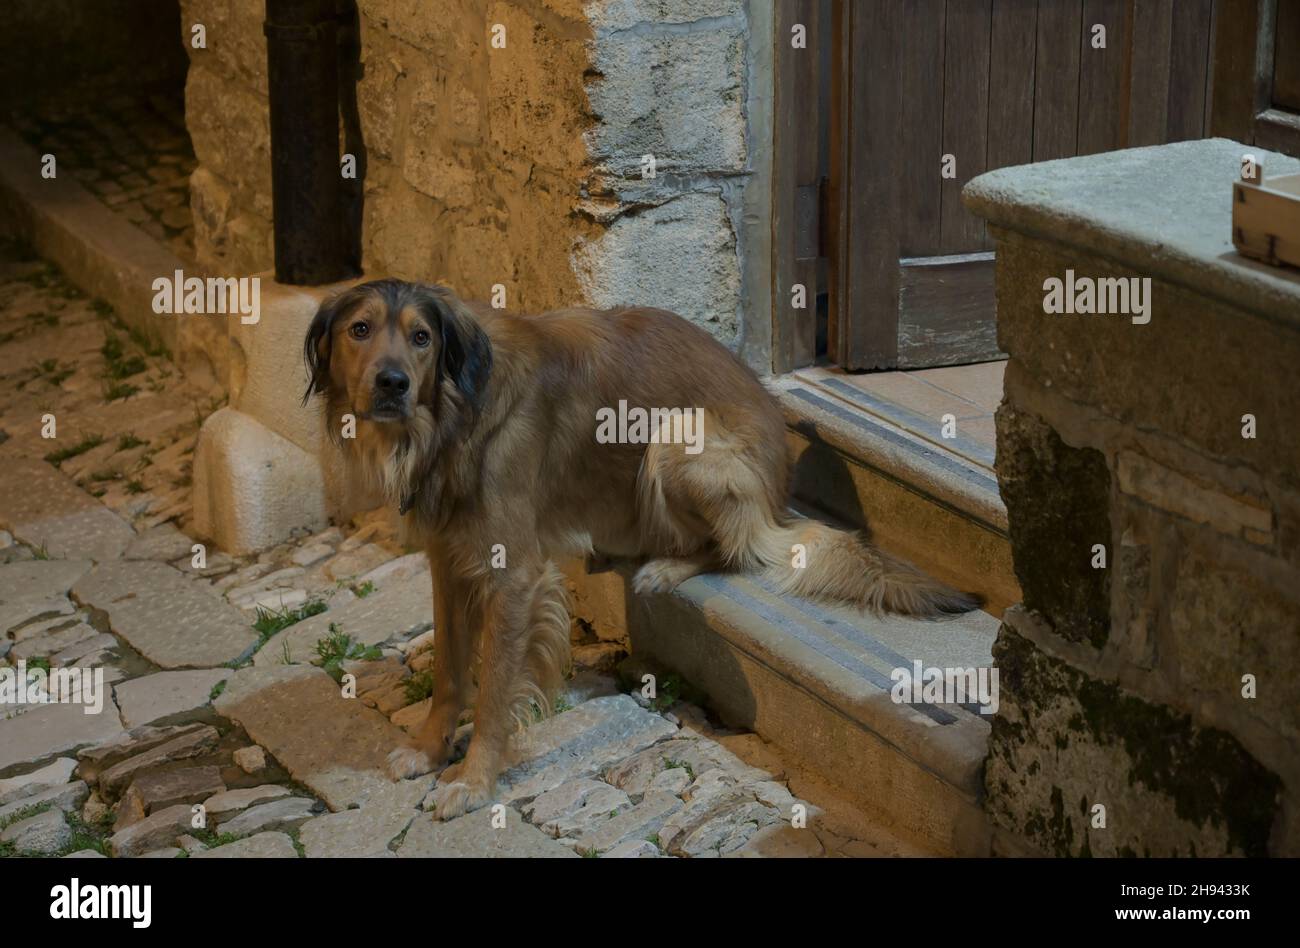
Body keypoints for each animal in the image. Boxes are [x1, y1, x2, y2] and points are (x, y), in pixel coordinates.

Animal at [304, 276, 977, 816]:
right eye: (360, 330)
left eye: (421, 338)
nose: (392, 384)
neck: (451, 417)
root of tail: (780, 490)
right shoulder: (447, 563)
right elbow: (448, 670)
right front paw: (427, 748)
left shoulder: (513, 575)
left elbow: (493, 687)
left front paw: (474, 780)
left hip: (678, 437)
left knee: (735, 549)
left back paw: (664, 567)